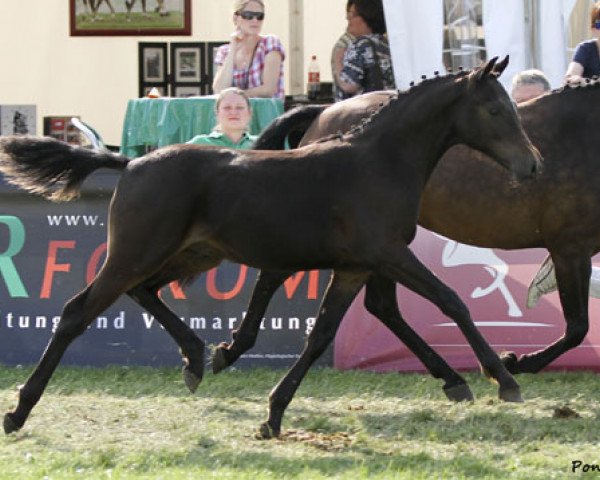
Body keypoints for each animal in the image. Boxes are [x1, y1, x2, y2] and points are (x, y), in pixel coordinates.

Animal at [0, 57, 540, 438]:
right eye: (495, 109)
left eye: (514, 108)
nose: (532, 165)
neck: (379, 162)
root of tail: (129, 163)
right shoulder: (386, 255)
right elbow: (451, 300)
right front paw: (504, 379)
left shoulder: (355, 267)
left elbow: (320, 335)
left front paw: (273, 414)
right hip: (135, 253)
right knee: (77, 311)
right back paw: (20, 410)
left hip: (190, 254)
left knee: (145, 292)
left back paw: (196, 358)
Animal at [216, 75, 600, 382]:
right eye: (495, 111)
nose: (532, 165)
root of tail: (325, 111)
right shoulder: (570, 248)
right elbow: (577, 327)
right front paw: (514, 362)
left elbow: (578, 326)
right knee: (276, 275)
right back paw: (233, 348)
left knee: (380, 306)